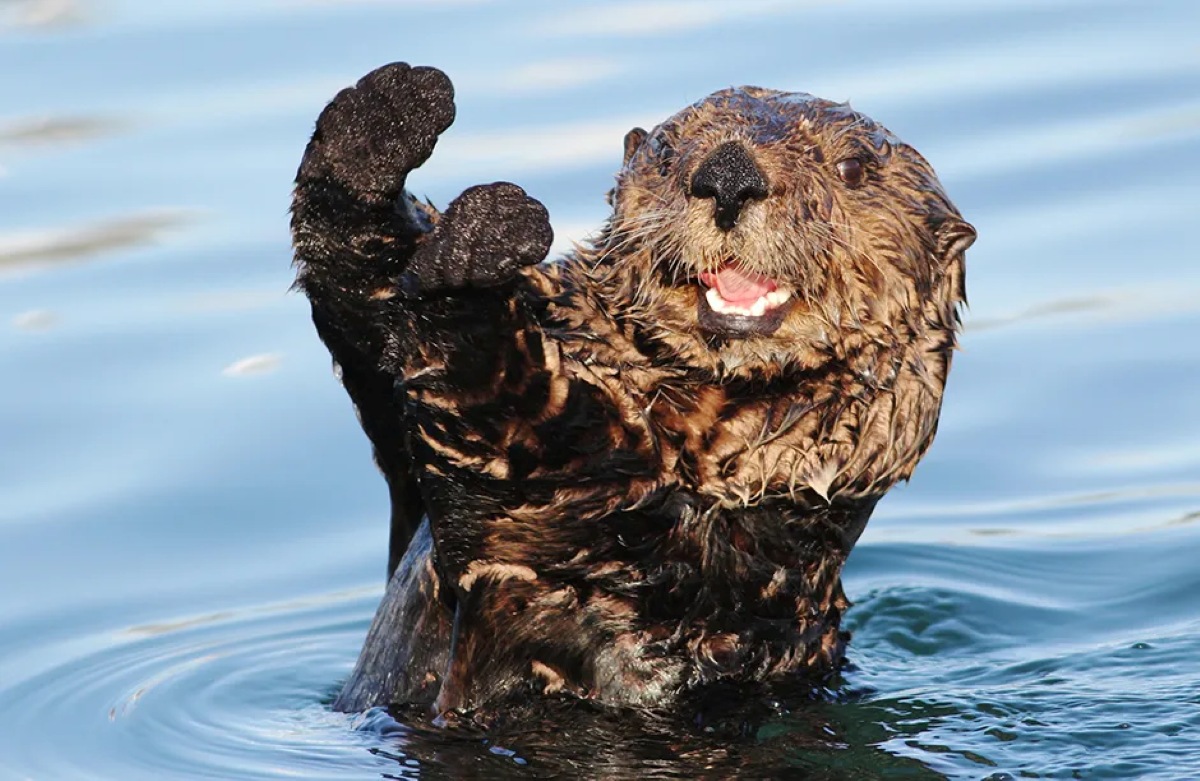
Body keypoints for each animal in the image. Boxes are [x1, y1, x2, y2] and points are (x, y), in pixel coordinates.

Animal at [290, 63, 975, 717]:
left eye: (852, 167)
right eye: (667, 153)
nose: (729, 175)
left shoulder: (616, 537)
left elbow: (510, 419)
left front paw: (476, 249)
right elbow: (366, 311)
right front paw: (384, 118)